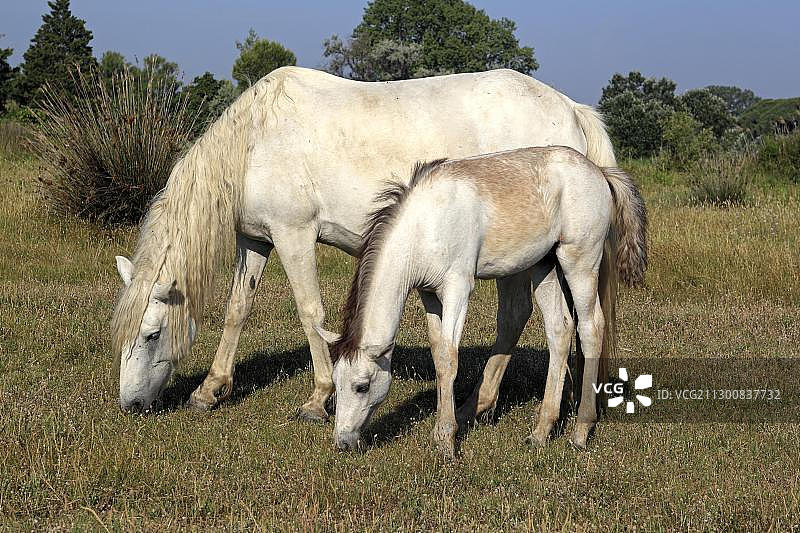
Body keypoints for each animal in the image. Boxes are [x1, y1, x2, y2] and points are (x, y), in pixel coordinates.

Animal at [110, 66, 619, 420]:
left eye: (151, 333)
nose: (129, 404)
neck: (256, 142)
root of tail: (571, 108)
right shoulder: (254, 241)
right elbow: (238, 310)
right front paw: (210, 389)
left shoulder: (293, 235)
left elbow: (310, 312)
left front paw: (319, 399)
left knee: (518, 316)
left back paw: (481, 402)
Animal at [315, 146, 647, 457]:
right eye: (336, 381)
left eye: (362, 386)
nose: (343, 441)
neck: (425, 224)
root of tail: (599, 171)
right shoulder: (428, 293)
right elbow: (438, 354)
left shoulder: (458, 287)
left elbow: (449, 357)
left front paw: (446, 439)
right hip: (544, 266)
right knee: (560, 330)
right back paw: (541, 431)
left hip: (579, 262)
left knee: (591, 329)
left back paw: (580, 430)